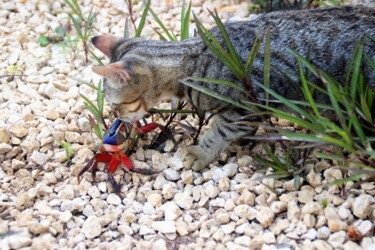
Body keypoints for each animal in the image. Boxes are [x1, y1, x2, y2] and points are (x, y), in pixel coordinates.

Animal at [92, 5, 375, 170]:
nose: (116, 119)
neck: (193, 60)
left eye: (116, 106)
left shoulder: (247, 106)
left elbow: (220, 130)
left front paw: (201, 153)